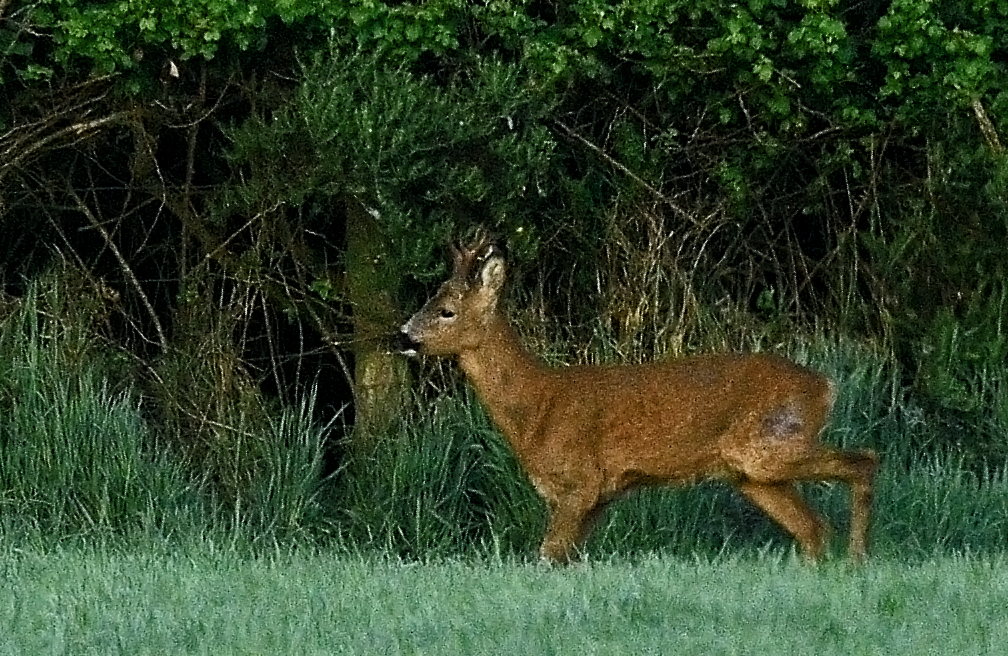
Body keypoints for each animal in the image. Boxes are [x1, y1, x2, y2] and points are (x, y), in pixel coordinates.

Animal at [396, 231, 879, 563]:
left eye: (446, 311)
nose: (403, 335)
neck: (537, 405)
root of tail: (825, 386)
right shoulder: (599, 495)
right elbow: (564, 559)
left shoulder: (581, 480)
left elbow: (547, 554)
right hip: (753, 472)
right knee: (813, 527)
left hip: (767, 446)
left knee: (864, 461)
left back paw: (857, 561)